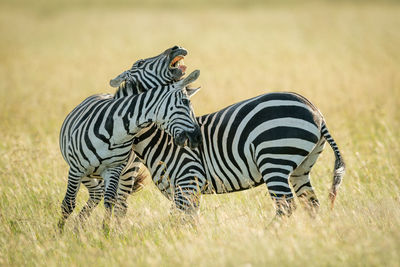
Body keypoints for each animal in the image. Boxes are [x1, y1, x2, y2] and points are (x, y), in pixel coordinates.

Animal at [57, 70, 202, 231]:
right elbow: (68, 203)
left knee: (118, 204)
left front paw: (106, 232)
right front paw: (59, 233)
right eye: (185, 102)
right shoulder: (76, 168)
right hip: (84, 171)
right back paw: (78, 227)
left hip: (128, 171)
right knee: (95, 193)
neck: (116, 134)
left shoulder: (114, 168)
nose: (198, 137)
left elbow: (110, 202)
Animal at [127, 91, 344, 216]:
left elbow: (178, 219)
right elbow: (189, 219)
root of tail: (316, 112)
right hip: (301, 168)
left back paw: (269, 234)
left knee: (286, 205)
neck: (158, 141)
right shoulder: (188, 190)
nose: (193, 140)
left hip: (273, 160)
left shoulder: (188, 180)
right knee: (311, 203)